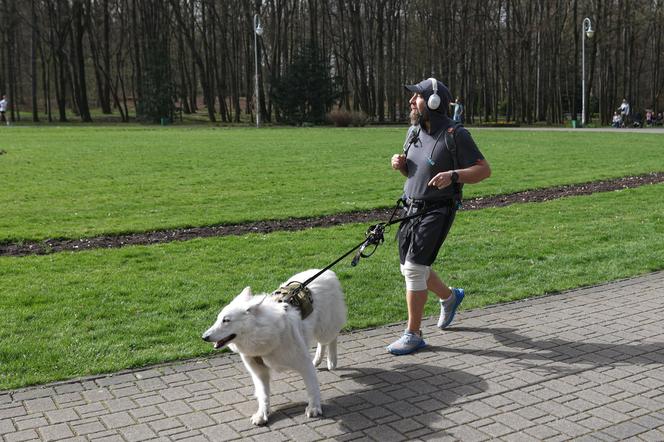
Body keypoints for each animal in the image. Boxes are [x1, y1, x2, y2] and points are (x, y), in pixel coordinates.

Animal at [201, 268, 348, 426]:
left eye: (226, 320)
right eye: (218, 319)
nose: (204, 337)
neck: (262, 334)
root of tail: (327, 272)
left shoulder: (304, 364)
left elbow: (312, 387)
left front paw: (314, 407)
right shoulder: (259, 372)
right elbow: (263, 395)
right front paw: (262, 414)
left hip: (325, 329)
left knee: (332, 338)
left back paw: (331, 360)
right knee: (323, 343)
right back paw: (318, 359)